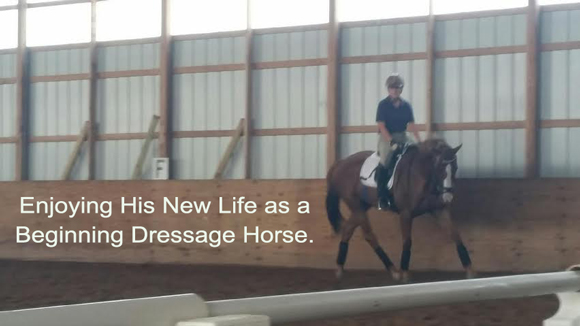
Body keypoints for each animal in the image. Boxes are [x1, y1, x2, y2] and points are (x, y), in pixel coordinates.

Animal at [326, 137, 476, 280]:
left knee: (348, 229)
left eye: (455, 168)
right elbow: (407, 242)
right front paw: (404, 273)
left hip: (362, 206)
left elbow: (456, 236)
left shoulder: (439, 210)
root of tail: (340, 163)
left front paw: (470, 271)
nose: (448, 197)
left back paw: (340, 268)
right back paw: (393, 271)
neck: (421, 175)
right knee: (369, 235)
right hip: (356, 206)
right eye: (439, 168)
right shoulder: (406, 213)